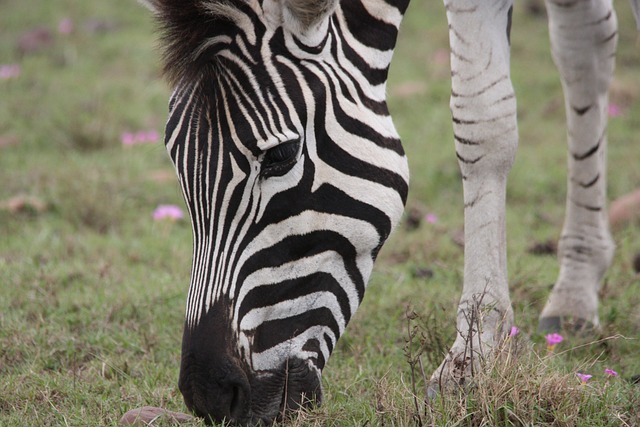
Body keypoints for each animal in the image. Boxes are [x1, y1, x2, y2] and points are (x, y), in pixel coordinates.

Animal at [140, 0, 632, 424]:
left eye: (280, 155)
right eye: (174, 159)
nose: (211, 395)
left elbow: (481, 121)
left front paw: (471, 360)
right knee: (584, 44)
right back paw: (576, 290)